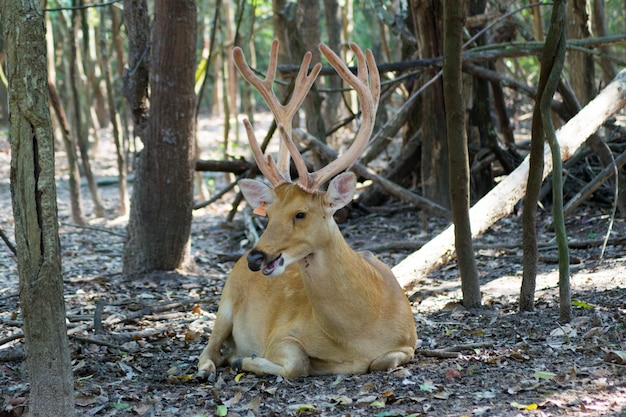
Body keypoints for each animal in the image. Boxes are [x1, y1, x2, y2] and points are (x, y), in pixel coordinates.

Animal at [195, 40, 416, 378]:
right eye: (268, 215)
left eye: (300, 213)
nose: (255, 257)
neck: (360, 332)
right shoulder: (280, 333)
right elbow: (298, 364)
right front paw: (248, 360)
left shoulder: (409, 341)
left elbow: (383, 360)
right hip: (225, 302)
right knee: (208, 348)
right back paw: (214, 365)